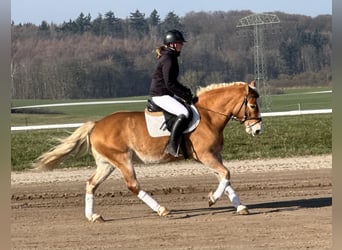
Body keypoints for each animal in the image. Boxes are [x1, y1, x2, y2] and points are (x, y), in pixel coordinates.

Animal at [33, 79, 262, 221]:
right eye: (252, 106)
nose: (257, 130)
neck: (208, 116)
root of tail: (96, 124)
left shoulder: (213, 155)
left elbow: (225, 177)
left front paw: (240, 206)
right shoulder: (205, 155)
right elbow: (226, 173)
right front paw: (212, 199)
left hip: (107, 163)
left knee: (91, 184)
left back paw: (93, 217)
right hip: (122, 160)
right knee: (133, 185)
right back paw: (162, 209)